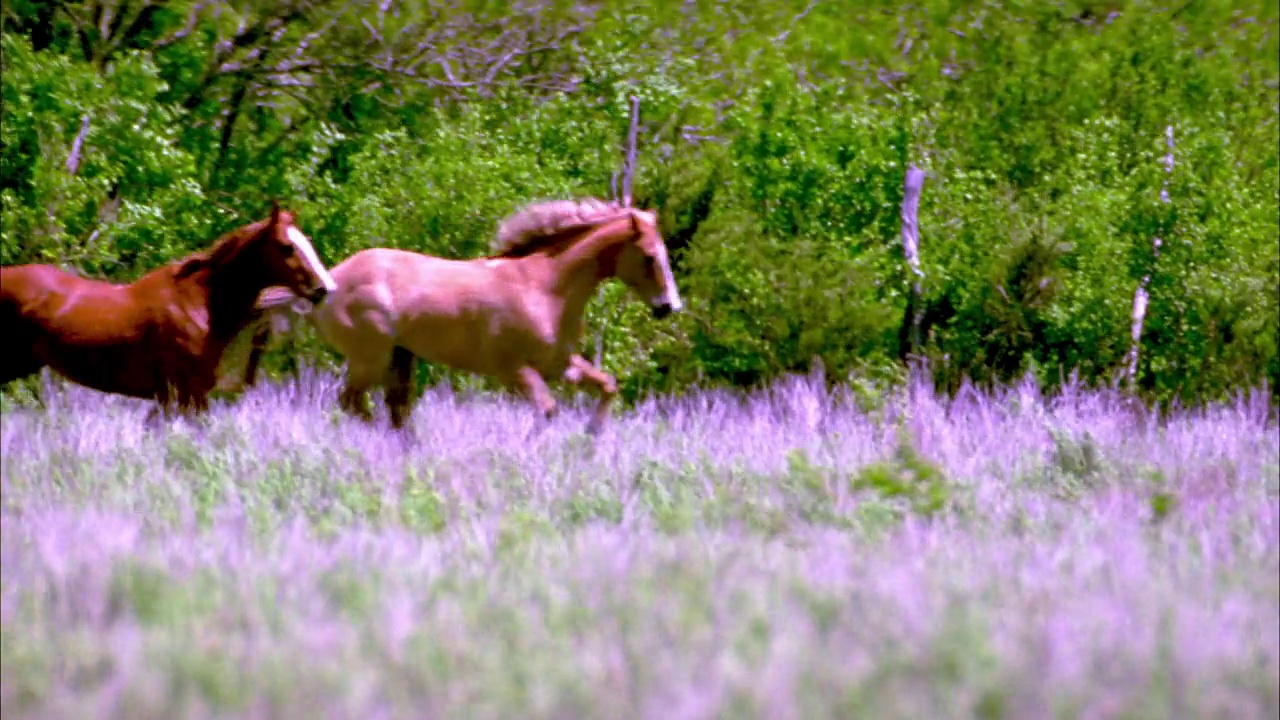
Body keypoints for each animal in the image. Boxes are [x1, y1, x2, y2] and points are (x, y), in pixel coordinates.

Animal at [0, 198, 337, 417]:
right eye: (287, 247)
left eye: (306, 241)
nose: (324, 288)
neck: (200, 304)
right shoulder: (185, 394)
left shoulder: (183, 396)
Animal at [235, 194, 686, 430]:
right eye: (649, 257)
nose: (669, 307)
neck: (544, 286)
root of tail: (324, 286)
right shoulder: (515, 371)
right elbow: (547, 410)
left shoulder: (561, 365)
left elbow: (607, 386)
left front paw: (593, 439)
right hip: (370, 358)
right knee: (352, 403)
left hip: (398, 359)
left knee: (390, 409)